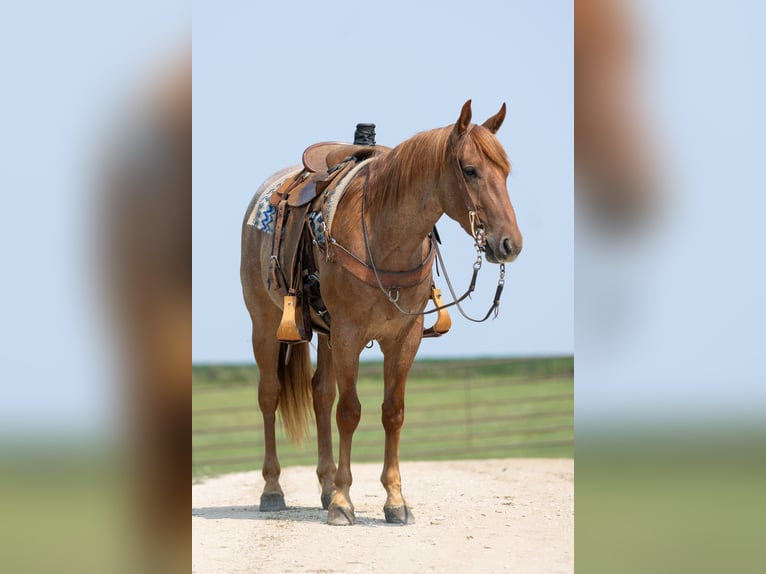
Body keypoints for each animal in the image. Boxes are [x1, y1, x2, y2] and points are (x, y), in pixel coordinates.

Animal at [240, 100, 522, 525]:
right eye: (470, 170)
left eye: (505, 171)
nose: (510, 243)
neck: (383, 235)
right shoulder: (349, 334)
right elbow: (350, 412)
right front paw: (343, 503)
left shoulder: (402, 338)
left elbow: (392, 412)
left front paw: (394, 500)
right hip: (267, 325)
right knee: (269, 395)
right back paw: (273, 489)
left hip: (325, 334)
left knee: (321, 394)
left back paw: (325, 485)